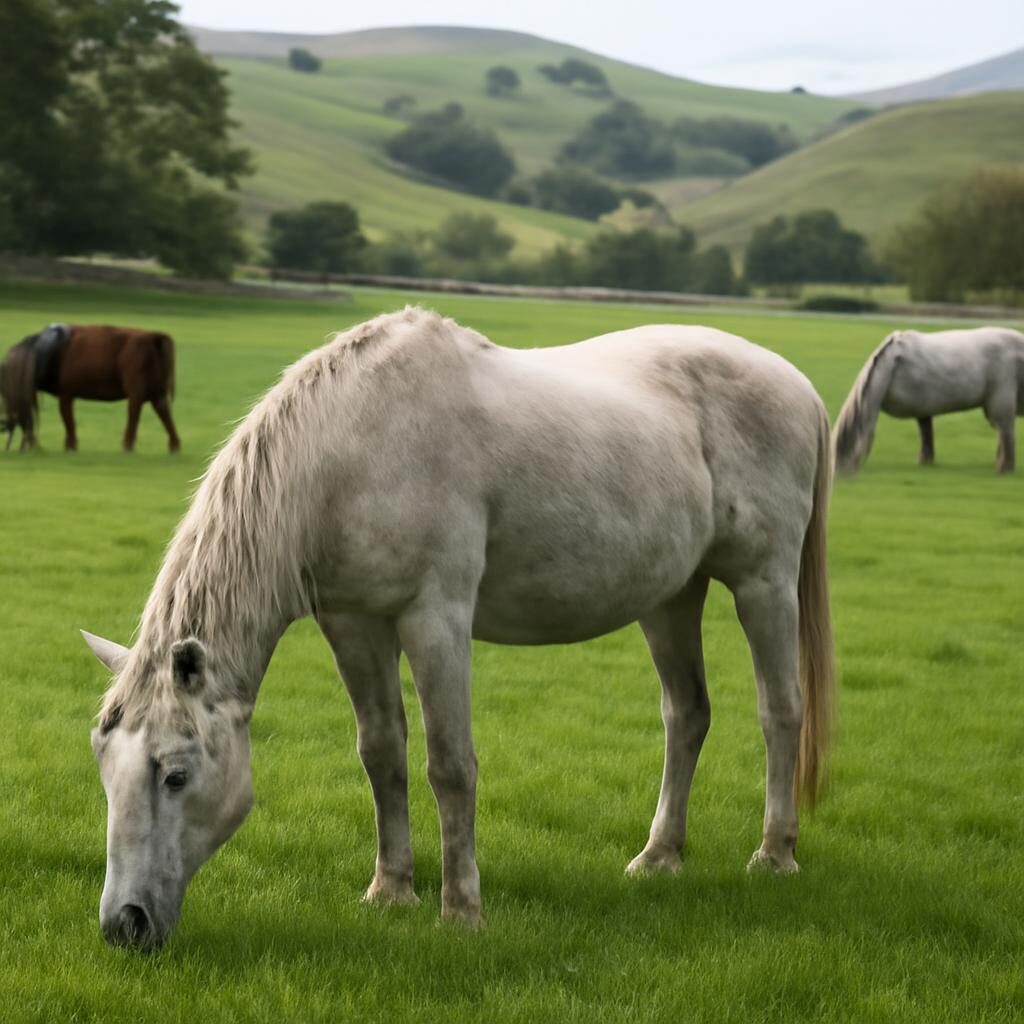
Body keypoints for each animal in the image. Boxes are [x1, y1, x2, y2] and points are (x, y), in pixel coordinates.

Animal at [0, 324, 180, 452]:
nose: (6, 424)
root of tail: (152, 337)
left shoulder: (66, 395)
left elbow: (68, 420)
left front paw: (70, 447)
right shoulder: (67, 395)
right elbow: (69, 420)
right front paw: (70, 446)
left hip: (136, 391)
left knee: (134, 412)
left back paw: (127, 446)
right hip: (157, 393)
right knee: (163, 411)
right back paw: (174, 446)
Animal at [81, 307, 835, 948]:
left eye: (176, 775)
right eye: (104, 771)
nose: (124, 924)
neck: (350, 447)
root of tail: (800, 385)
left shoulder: (435, 617)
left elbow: (450, 764)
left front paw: (461, 910)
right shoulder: (354, 622)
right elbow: (382, 753)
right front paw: (390, 891)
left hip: (763, 585)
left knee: (780, 710)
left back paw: (775, 854)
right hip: (673, 596)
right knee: (687, 714)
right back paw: (660, 856)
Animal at [833, 327, 1024, 475]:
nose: (838, 473)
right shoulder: (923, 409)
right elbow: (926, 435)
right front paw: (925, 463)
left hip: (1001, 397)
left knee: (1004, 430)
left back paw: (1004, 469)